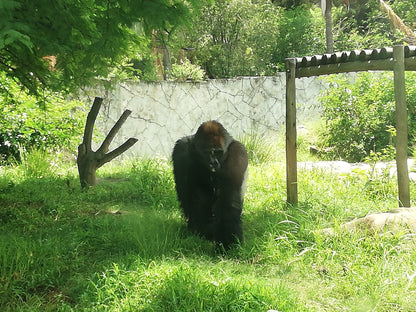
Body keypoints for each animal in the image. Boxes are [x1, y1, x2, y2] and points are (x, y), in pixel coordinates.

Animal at [171, 120, 247, 249]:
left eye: (218, 152)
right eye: (207, 153)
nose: (213, 163)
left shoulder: (238, 153)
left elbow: (230, 201)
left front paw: (228, 243)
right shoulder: (181, 149)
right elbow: (185, 193)